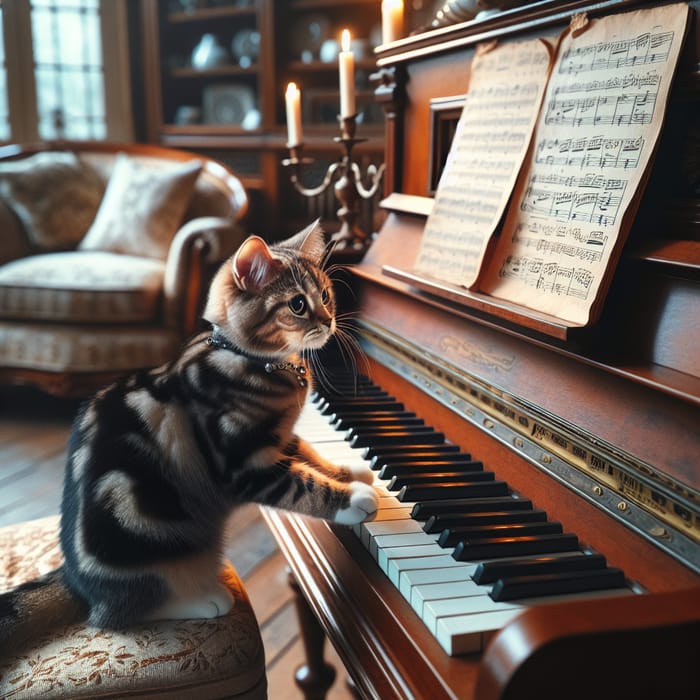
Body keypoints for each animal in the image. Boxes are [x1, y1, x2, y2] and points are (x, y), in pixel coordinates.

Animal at [0, 221, 378, 652]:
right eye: (298, 304)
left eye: (326, 296)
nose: (329, 321)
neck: (251, 359)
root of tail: (77, 581)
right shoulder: (244, 464)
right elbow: (303, 485)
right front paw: (352, 500)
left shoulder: (277, 440)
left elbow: (309, 454)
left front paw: (350, 471)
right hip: (152, 547)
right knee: (117, 615)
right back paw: (204, 600)